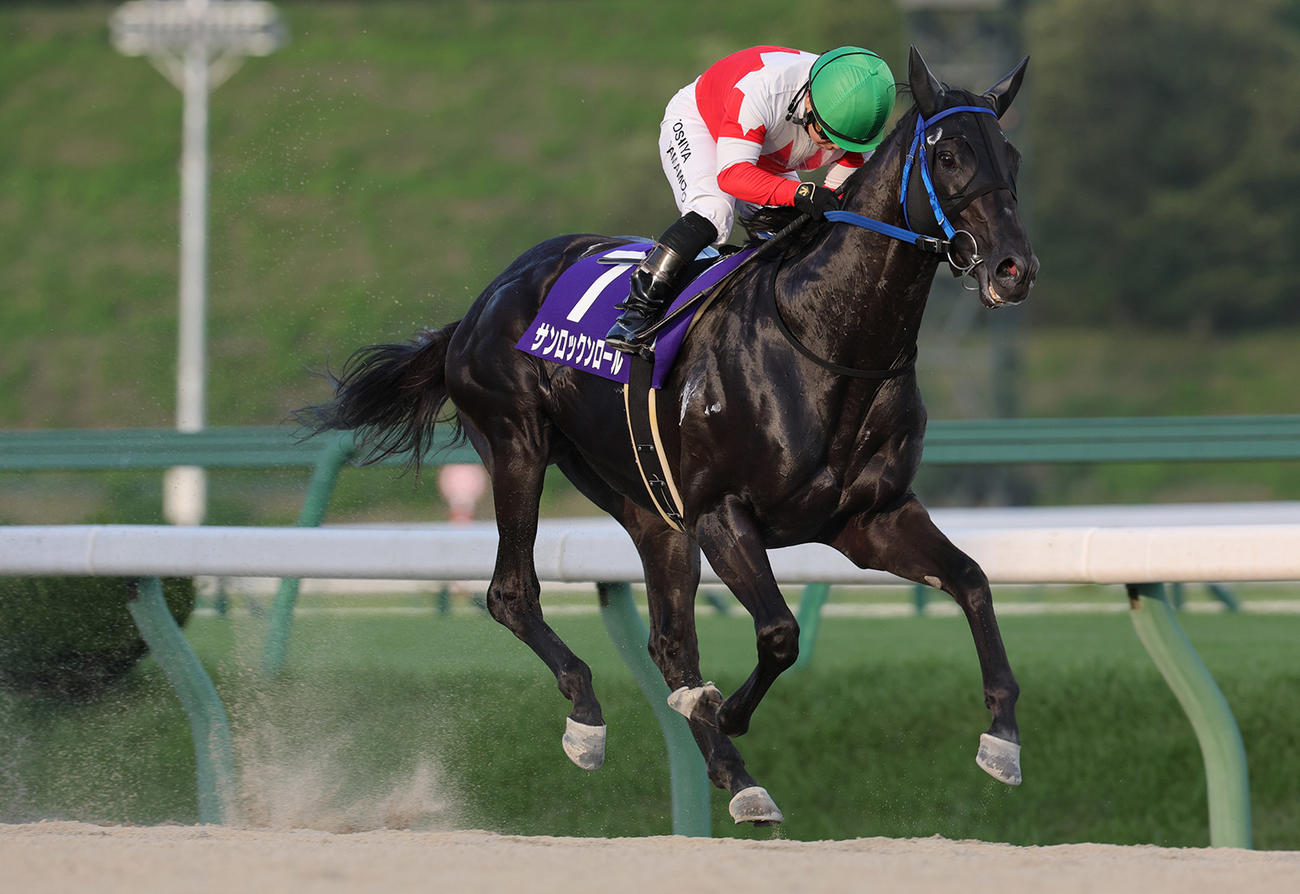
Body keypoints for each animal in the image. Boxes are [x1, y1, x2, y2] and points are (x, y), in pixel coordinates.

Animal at [298, 46, 1038, 826]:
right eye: (949, 154)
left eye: (1012, 155)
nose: (1013, 268)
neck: (824, 338)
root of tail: (484, 300)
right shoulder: (722, 513)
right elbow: (780, 635)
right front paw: (728, 710)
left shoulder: (869, 519)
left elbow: (972, 580)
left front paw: (1002, 739)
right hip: (517, 445)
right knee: (511, 593)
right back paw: (590, 719)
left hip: (646, 504)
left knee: (668, 642)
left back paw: (737, 779)